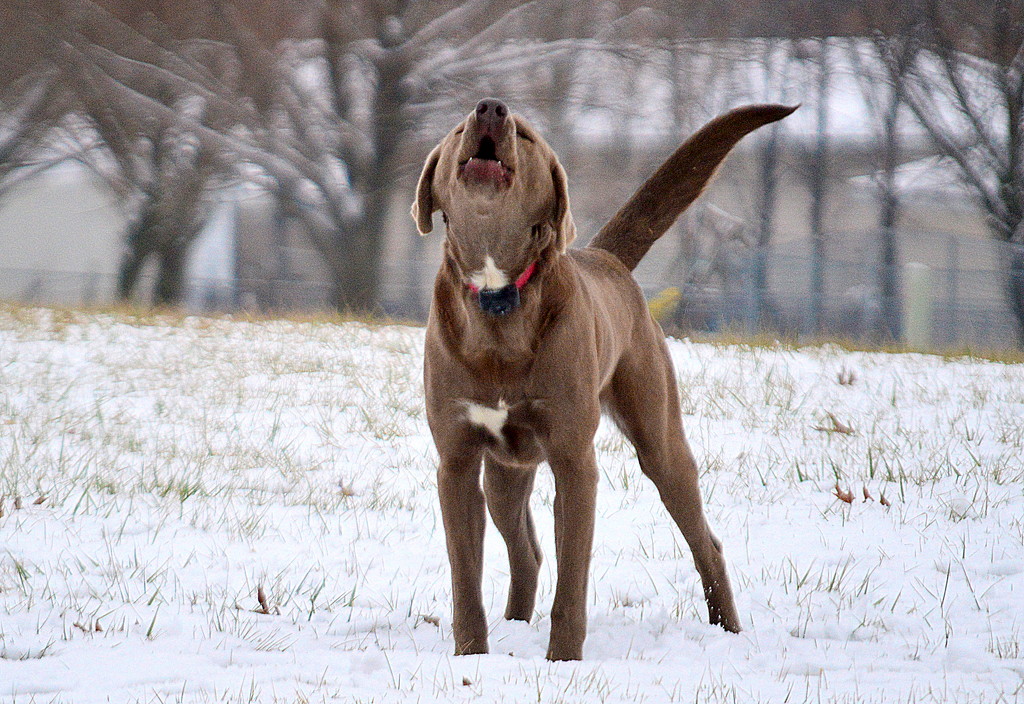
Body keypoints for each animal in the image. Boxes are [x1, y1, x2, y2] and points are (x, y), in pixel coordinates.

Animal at [411, 99, 794, 658]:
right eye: (460, 127)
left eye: (525, 135)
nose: (491, 108)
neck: (497, 295)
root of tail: (606, 257)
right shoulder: (457, 461)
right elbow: (466, 578)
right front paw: (472, 657)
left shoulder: (574, 460)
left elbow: (573, 579)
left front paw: (563, 661)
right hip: (504, 472)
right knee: (526, 552)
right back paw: (515, 624)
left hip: (659, 441)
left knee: (706, 542)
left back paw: (728, 629)